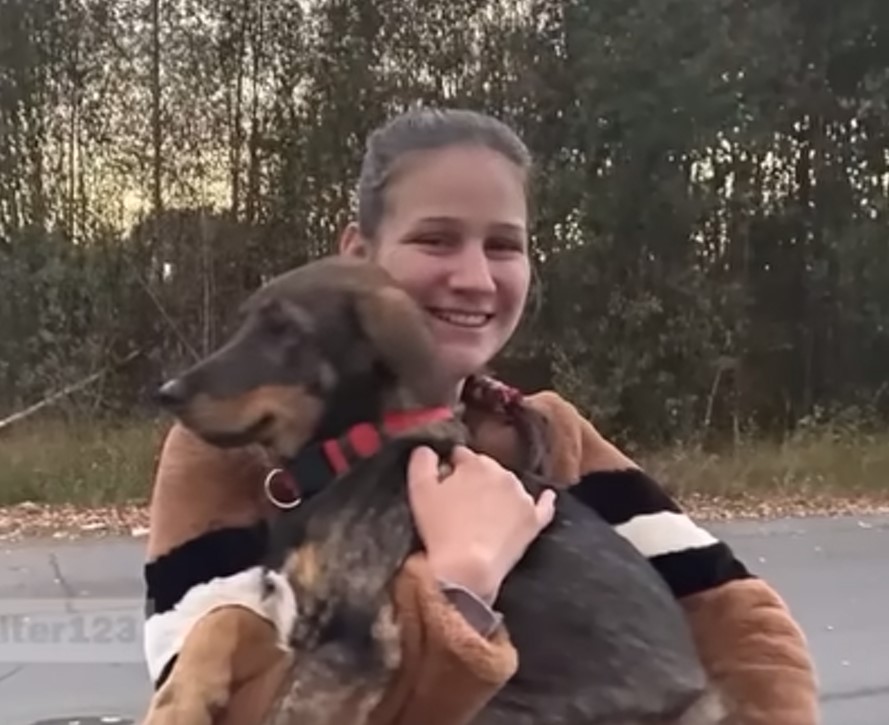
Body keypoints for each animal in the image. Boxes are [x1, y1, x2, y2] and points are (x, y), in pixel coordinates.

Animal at [149, 256, 724, 724]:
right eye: (246, 322)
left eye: (285, 330)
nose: (166, 393)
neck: (347, 457)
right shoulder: (292, 612)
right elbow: (221, 619)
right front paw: (178, 704)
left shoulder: (355, 639)